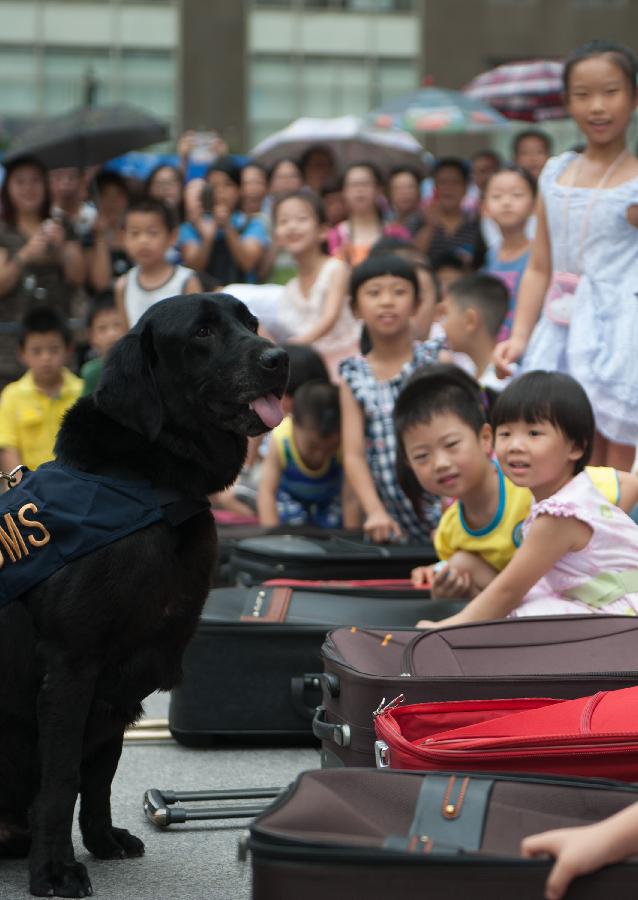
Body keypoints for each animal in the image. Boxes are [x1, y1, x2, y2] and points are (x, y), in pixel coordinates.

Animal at [0, 294, 290, 892]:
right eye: (202, 332)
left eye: (250, 322)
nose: (281, 358)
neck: (147, 488)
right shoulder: (72, 667)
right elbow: (61, 781)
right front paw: (55, 870)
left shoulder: (123, 677)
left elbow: (99, 775)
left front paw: (101, 841)